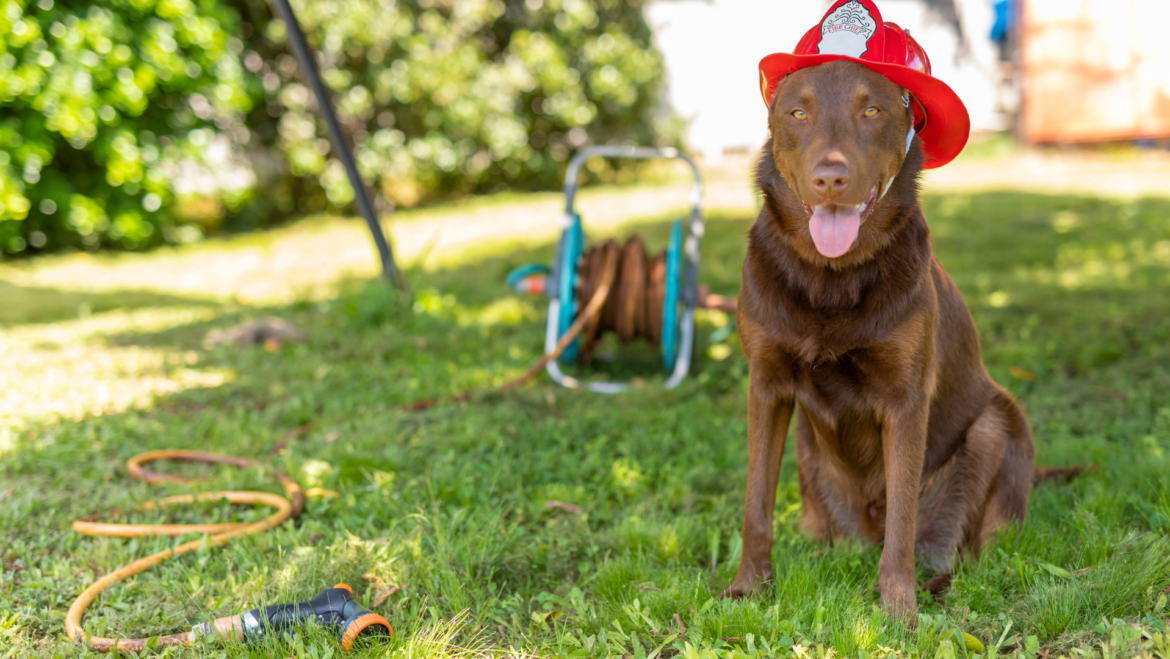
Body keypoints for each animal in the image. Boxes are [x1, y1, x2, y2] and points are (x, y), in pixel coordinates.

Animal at [725, 59, 1038, 622]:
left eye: (871, 110)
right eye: (797, 113)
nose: (831, 179)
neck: (830, 277)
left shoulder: (905, 399)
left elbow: (901, 523)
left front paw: (898, 613)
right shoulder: (766, 386)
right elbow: (755, 502)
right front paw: (747, 589)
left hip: (999, 424)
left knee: (971, 546)